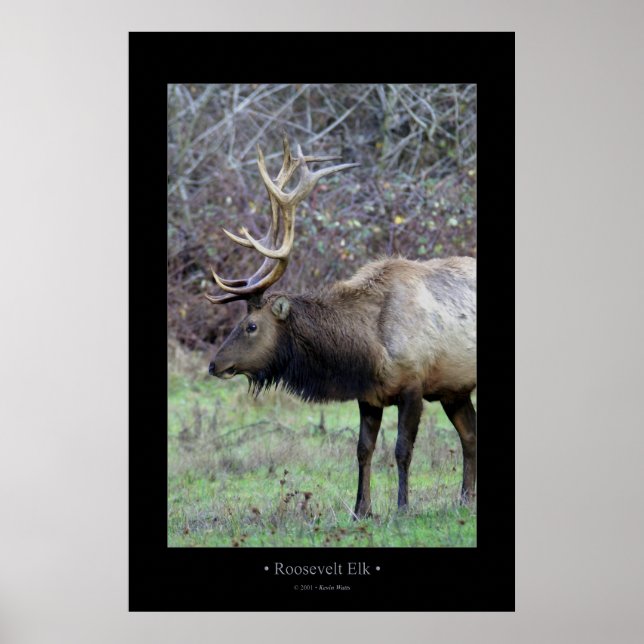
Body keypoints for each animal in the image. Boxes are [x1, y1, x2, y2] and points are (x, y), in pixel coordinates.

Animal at [206, 135, 476, 517]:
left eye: (251, 326)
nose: (215, 364)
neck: (367, 348)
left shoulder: (413, 385)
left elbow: (402, 450)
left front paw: (402, 508)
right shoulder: (369, 395)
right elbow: (363, 450)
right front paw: (361, 509)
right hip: (456, 389)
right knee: (470, 436)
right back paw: (466, 499)